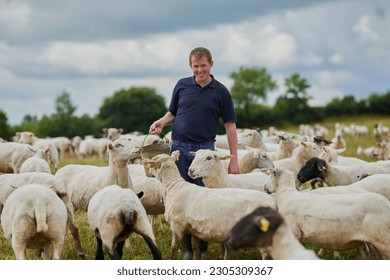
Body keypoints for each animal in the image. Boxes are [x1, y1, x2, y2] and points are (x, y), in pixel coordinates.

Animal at [142, 152, 276, 260]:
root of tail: (273, 203)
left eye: (152, 162)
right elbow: (195, 248)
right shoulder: (193, 228)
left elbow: (174, 249)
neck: (174, 186)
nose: (147, 173)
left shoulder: (177, 226)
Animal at [262, 167, 390, 260]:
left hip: (383, 240)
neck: (285, 195)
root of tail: (386, 204)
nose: (264, 188)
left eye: (270, 176)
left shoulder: (294, 235)